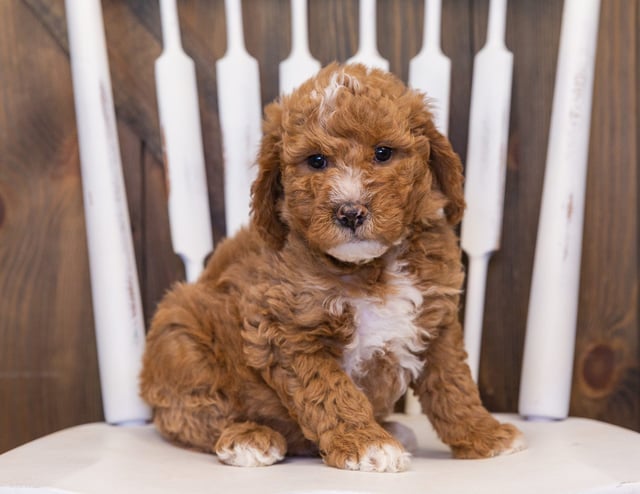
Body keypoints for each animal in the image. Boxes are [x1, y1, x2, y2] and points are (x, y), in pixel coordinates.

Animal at [140, 63, 524, 472]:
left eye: (383, 153)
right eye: (316, 161)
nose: (350, 211)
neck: (371, 267)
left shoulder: (436, 321)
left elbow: (453, 383)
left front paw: (485, 434)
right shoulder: (289, 333)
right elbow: (331, 392)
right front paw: (367, 443)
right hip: (180, 336)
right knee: (194, 412)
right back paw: (247, 437)